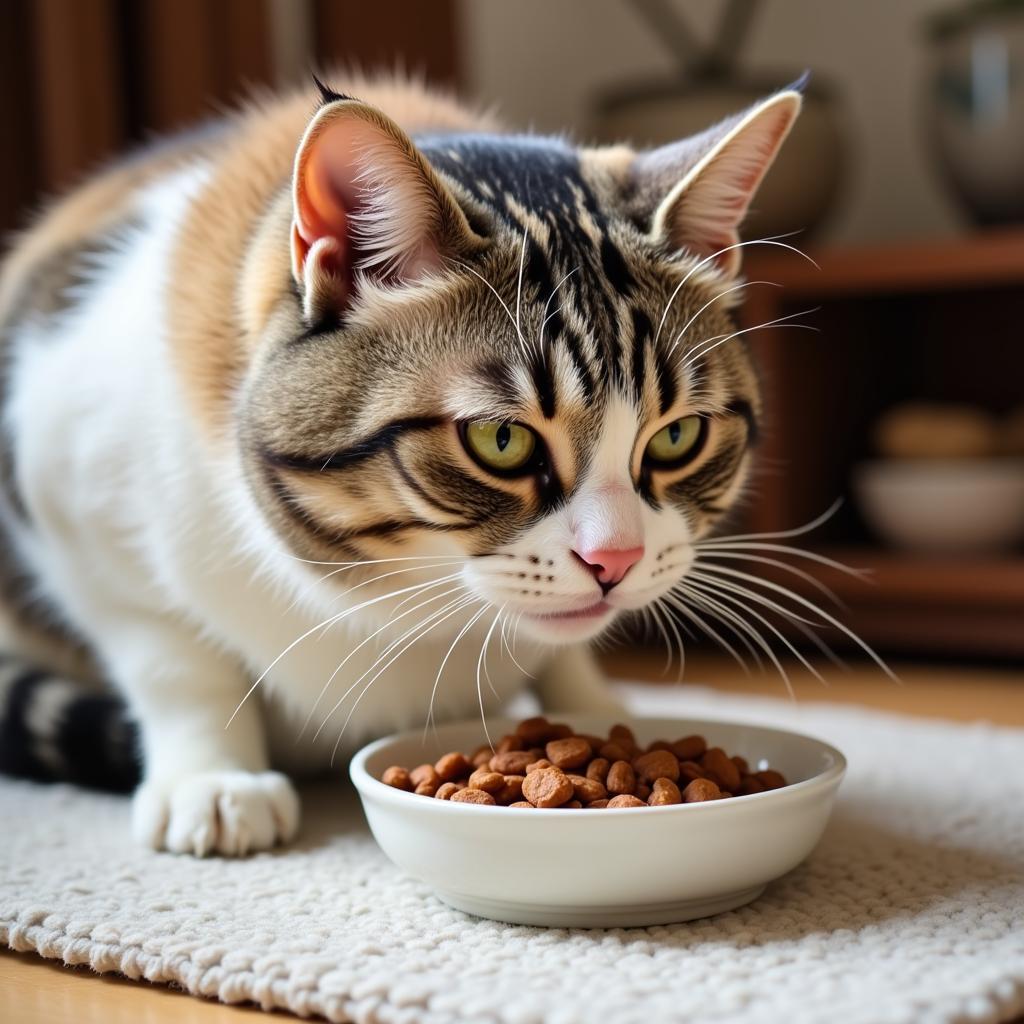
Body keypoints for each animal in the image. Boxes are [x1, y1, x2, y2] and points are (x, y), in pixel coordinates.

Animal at [0, 74, 798, 856]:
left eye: (678, 437)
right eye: (501, 442)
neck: (399, 608)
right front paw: (214, 777)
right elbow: (172, 657)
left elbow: (563, 654)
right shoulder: (68, 500)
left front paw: (595, 708)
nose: (616, 559)